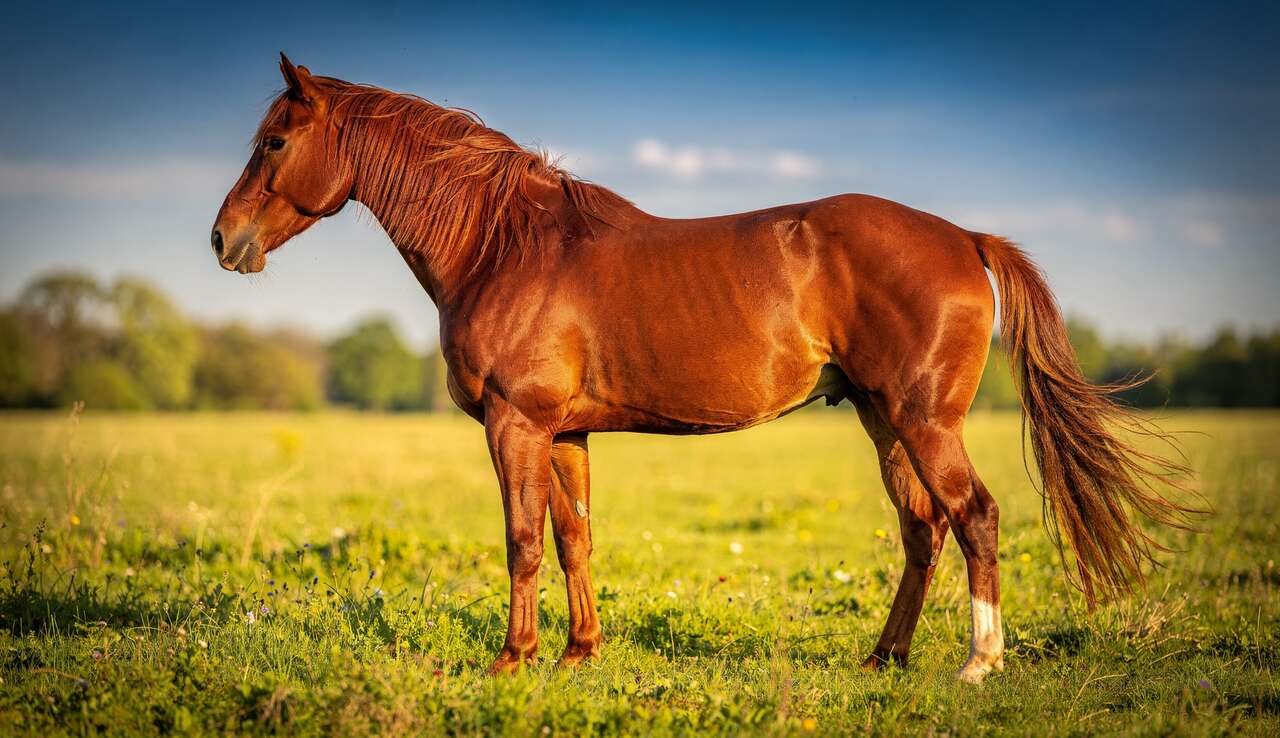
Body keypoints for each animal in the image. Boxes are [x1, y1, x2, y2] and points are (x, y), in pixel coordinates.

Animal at [211, 55, 1195, 682]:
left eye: (273, 143)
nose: (224, 241)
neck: (507, 247)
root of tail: (962, 237)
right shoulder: (563, 433)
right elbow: (574, 538)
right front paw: (577, 653)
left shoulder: (515, 425)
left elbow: (522, 540)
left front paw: (512, 659)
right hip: (883, 418)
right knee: (923, 530)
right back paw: (885, 659)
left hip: (923, 420)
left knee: (976, 517)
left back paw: (977, 664)